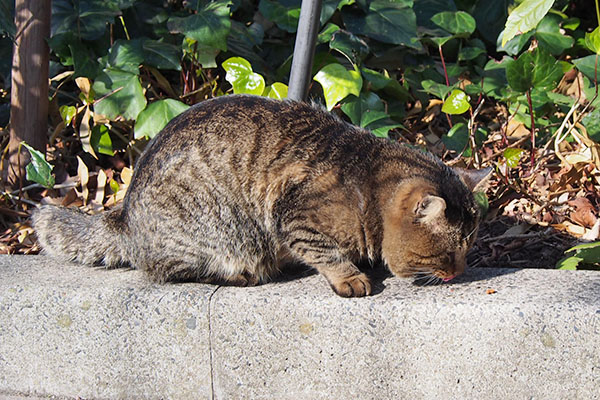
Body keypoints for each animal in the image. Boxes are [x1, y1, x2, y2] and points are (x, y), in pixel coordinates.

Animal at [32, 94, 490, 296]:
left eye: (469, 249)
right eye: (448, 253)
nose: (460, 271)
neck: (368, 181)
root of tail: (121, 215)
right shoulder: (295, 216)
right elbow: (324, 251)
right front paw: (350, 276)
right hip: (217, 232)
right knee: (166, 271)